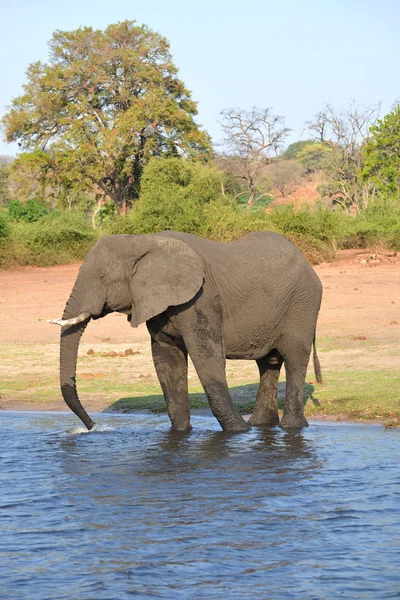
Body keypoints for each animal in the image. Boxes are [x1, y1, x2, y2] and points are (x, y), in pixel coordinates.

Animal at [50, 230, 324, 432]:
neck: (145, 240)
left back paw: (290, 428)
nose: (92, 426)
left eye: (103, 276)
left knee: (294, 357)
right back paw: (260, 426)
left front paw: (237, 432)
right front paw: (180, 433)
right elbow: (166, 361)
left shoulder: (201, 300)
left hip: (303, 303)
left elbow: (207, 358)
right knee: (269, 362)